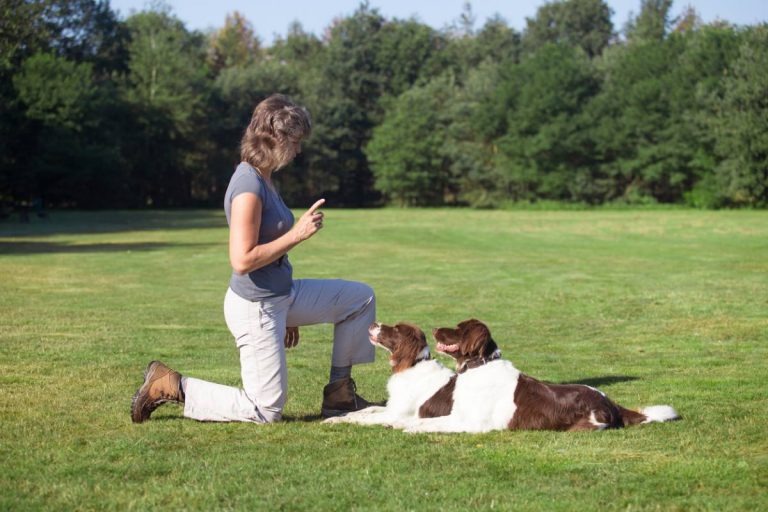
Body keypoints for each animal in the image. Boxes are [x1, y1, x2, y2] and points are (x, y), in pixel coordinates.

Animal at [324, 322, 456, 426]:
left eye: (396, 329)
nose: (373, 324)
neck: (413, 365)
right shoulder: (392, 407)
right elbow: (371, 408)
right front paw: (345, 413)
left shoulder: (397, 414)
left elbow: (363, 417)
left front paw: (335, 419)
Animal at [402, 320, 680, 432]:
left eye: (459, 329)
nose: (434, 329)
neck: (479, 366)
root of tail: (610, 402)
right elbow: (426, 421)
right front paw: (405, 425)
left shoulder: (473, 423)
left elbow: (436, 426)